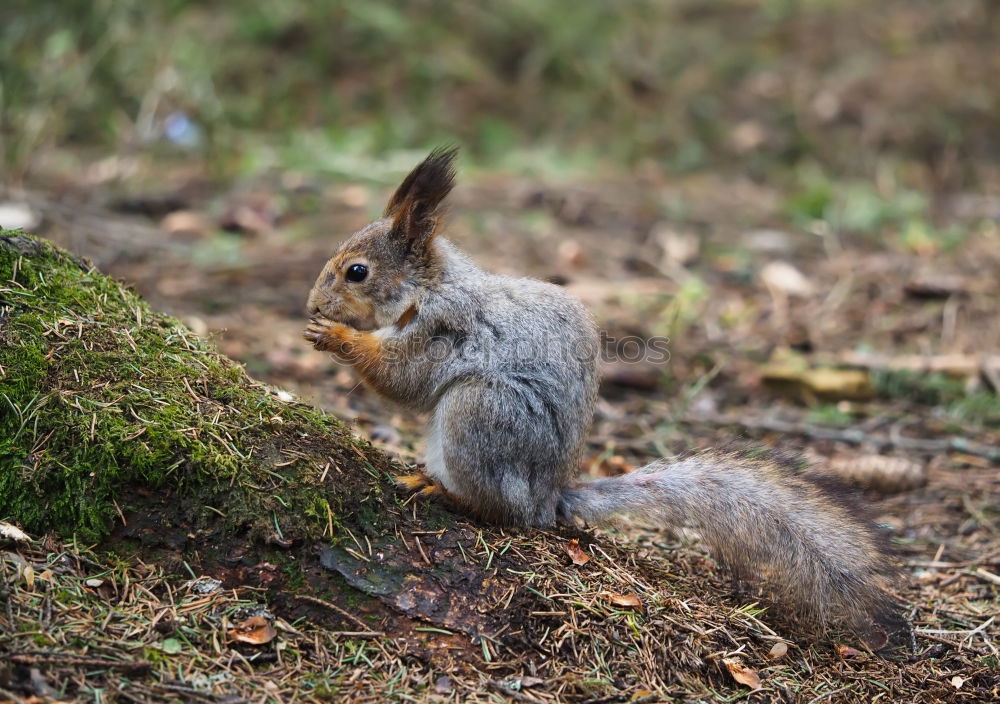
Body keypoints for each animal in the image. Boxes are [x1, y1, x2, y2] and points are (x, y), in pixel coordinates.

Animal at [302, 148, 900, 640]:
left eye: (357, 272)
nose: (312, 303)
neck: (429, 288)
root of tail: (550, 496)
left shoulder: (444, 329)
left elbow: (405, 378)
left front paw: (337, 337)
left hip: (483, 412)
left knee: (504, 513)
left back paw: (446, 492)